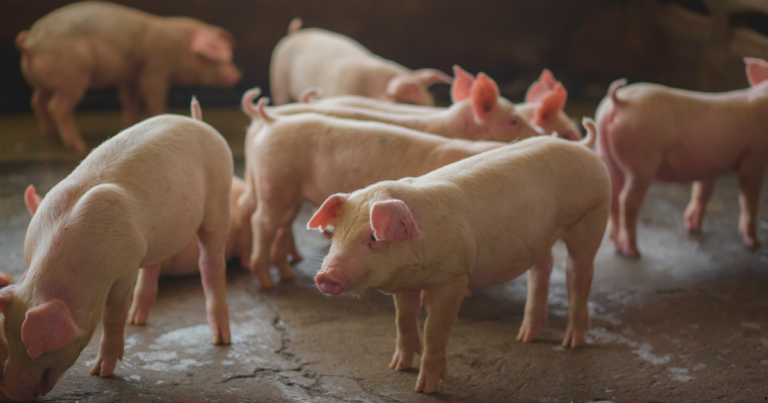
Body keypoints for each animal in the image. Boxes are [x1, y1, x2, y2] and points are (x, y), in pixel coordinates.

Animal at [16, 1, 241, 154]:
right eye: (217, 58)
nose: (236, 75)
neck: (181, 47)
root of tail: (30, 42)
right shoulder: (156, 67)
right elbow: (153, 94)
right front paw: (159, 115)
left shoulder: (130, 77)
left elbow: (129, 99)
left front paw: (131, 123)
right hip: (73, 78)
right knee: (57, 106)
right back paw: (78, 146)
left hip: (46, 84)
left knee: (37, 101)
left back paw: (50, 135)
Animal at [239, 97, 509, 288]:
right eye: (513, 122)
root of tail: (272, 120)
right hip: (276, 182)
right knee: (262, 221)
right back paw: (267, 282)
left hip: (283, 187)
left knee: (271, 217)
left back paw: (284, 273)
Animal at [307, 128, 608, 393]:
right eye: (336, 233)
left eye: (373, 236)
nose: (325, 276)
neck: (415, 266)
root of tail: (582, 147)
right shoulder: (405, 283)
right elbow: (403, 319)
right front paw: (398, 367)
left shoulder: (455, 276)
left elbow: (434, 328)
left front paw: (425, 388)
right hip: (540, 236)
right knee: (541, 271)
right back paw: (525, 336)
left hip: (590, 218)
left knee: (579, 274)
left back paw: (572, 343)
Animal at [595, 58, 768, 257]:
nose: (756, 243)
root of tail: (620, 101)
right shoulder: (755, 156)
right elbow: (749, 199)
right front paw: (755, 243)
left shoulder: (708, 164)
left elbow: (702, 192)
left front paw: (693, 227)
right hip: (641, 161)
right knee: (627, 200)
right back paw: (632, 251)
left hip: (607, 154)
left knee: (614, 194)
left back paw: (615, 243)